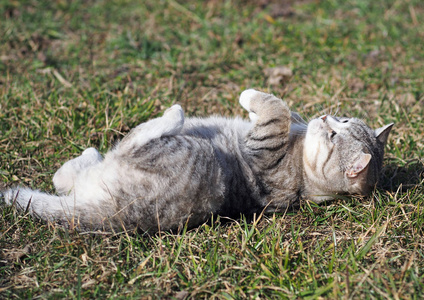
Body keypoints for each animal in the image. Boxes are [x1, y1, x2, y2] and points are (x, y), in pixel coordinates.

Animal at [0, 88, 392, 233]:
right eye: (341, 120)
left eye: (334, 136)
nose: (324, 117)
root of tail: (115, 216)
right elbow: (285, 109)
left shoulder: (265, 145)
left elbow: (275, 109)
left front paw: (251, 95)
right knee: (65, 177)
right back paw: (91, 153)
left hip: (190, 156)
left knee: (129, 145)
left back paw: (173, 113)